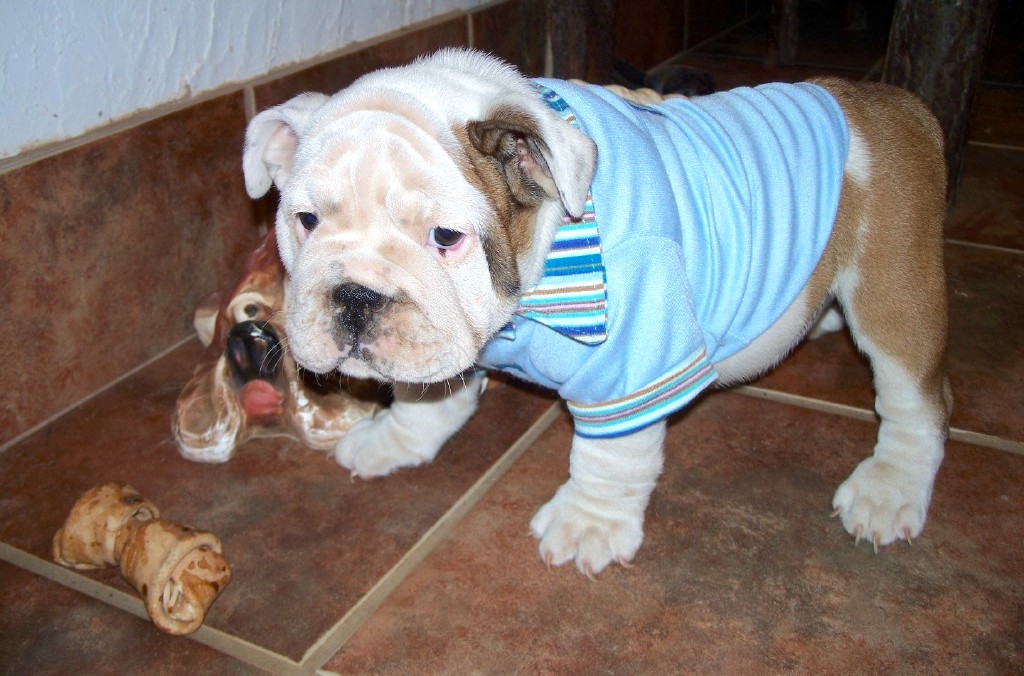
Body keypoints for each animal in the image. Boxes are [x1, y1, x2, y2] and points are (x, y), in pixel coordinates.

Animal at [241, 48, 950, 577]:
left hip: (895, 296)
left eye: (445, 237)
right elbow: (427, 396)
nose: (356, 294)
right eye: (306, 221)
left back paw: (889, 490)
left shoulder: (631, 366)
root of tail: (891, 102)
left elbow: (611, 456)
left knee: (918, 403)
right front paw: (395, 439)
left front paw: (589, 522)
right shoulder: (439, 342)